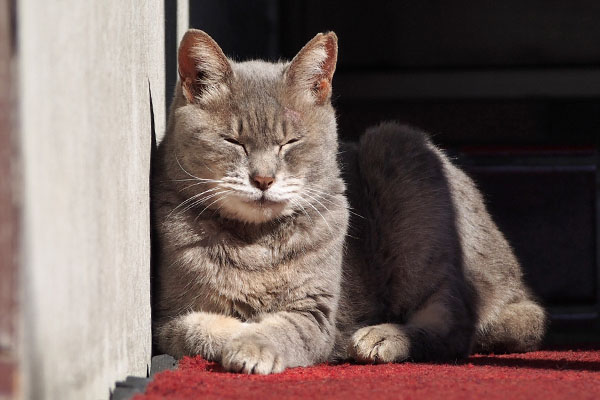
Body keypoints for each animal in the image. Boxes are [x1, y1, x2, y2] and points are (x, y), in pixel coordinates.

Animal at [152, 28, 548, 376]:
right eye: (233, 141)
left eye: (290, 142)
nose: (263, 179)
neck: (256, 243)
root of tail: (517, 286)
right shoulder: (168, 317)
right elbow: (196, 328)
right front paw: (240, 332)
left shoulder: (316, 312)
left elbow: (280, 329)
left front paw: (253, 344)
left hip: (397, 149)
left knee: (455, 324)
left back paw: (382, 337)